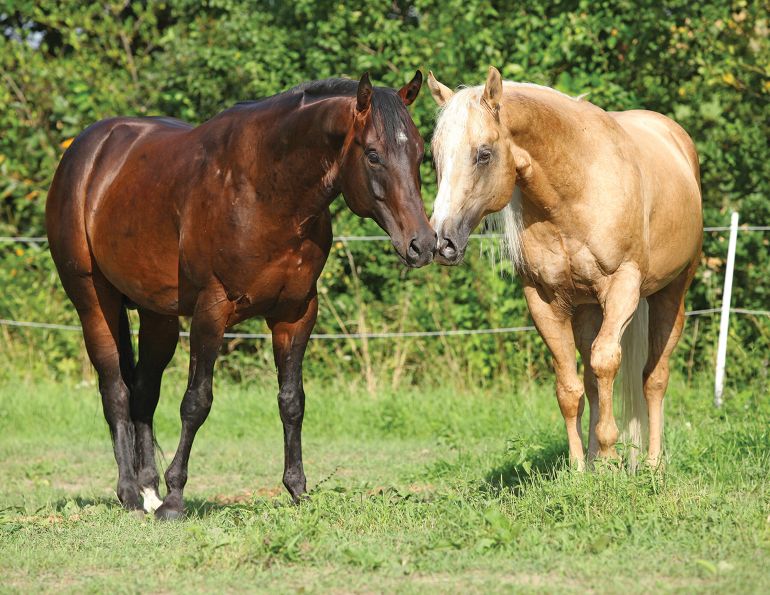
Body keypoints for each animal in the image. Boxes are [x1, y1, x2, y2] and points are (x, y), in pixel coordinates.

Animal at [46, 71, 435, 519]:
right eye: (373, 155)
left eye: (421, 153)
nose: (422, 244)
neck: (266, 190)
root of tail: (86, 151)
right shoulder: (211, 311)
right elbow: (196, 401)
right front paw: (175, 500)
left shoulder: (296, 314)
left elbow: (292, 400)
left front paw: (298, 490)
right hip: (94, 303)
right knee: (116, 391)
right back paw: (130, 494)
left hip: (157, 314)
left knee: (144, 392)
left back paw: (148, 491)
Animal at [427, 67, 702, 470]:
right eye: (435, 158)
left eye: (484, 154)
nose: (442, 242)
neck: (574, 188)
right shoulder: (543, 300)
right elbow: (569, 387)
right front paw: (579, 467)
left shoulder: (622, 287)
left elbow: (606, 363)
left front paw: (608, 454)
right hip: (588, 309)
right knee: (591, 382)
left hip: (671, 294)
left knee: (654, 377)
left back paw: (651, 463)